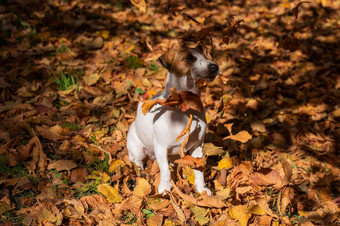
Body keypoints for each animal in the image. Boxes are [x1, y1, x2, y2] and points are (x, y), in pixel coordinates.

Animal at [126, 44, 219, 194]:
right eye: (188, 58)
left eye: (206, 56)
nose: (214, 66)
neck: (186, 106)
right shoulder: (161, 148)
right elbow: (165, 172)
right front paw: (165, 189)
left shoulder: (197, 146)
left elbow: (199, 171)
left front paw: (202, 189)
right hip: (137, 151)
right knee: (137, 162)